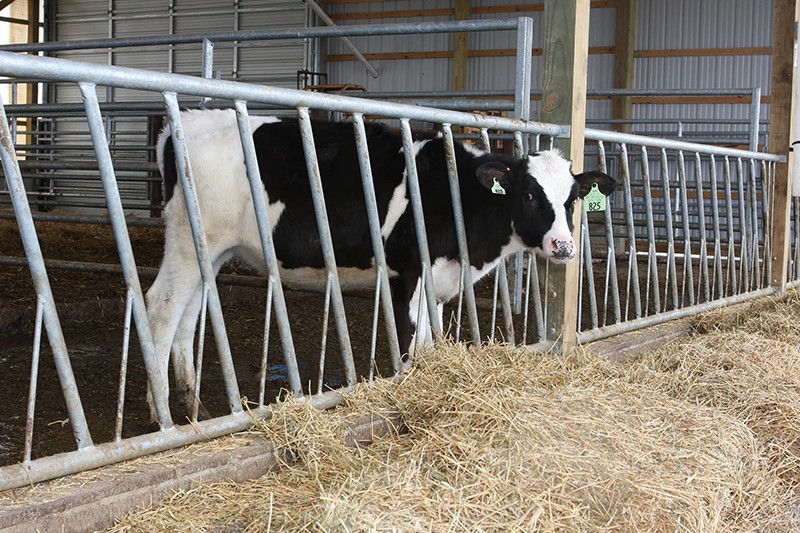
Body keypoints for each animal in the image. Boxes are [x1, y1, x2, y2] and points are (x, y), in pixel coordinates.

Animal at [145, 108, 616, 417]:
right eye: (530, 195)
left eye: (572, 199)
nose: (563, 247)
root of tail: (185, 123)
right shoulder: (409, 272)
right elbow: (408, 343)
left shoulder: (438, 280)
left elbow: (429, 342)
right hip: (188, 241)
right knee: (161, 309)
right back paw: (160, 410)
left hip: (211, 252)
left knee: (189, 313)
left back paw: (191, 404)